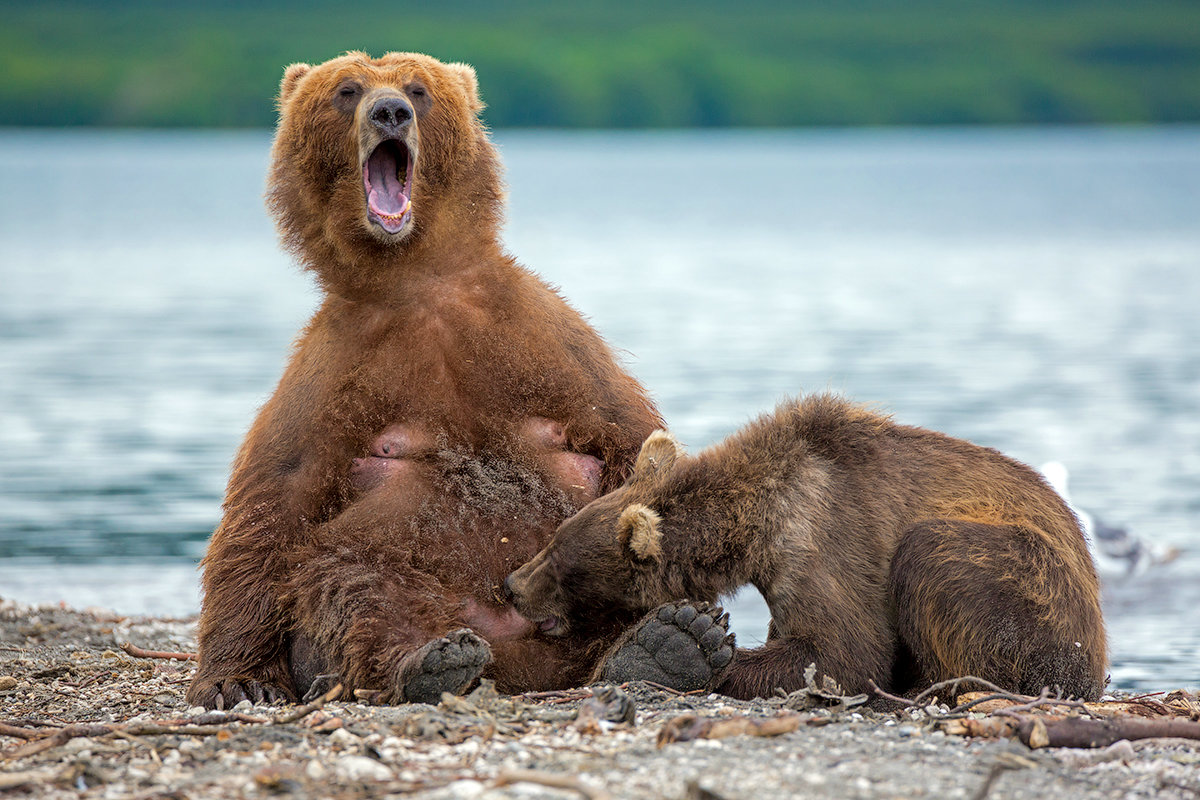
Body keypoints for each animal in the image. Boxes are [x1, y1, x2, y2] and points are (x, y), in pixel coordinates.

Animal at [182, 53, 662, 710]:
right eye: (346, 90)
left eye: (418, 89)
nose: (390, 111)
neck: (414, 277)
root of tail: (525, 668)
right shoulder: (332, 371)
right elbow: (271, 504)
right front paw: (237, 678)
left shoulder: (548, 341)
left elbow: (630, 437)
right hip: (401, 569)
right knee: (354, 583)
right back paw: (435, 660)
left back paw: (667, 642)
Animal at [504, 393, 1104, 700]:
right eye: (554, 539)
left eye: (560, 561)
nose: (512, 585)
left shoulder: (827, 534)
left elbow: (844, 652)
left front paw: (693, 649)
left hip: (1031, 587)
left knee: (935, 559)